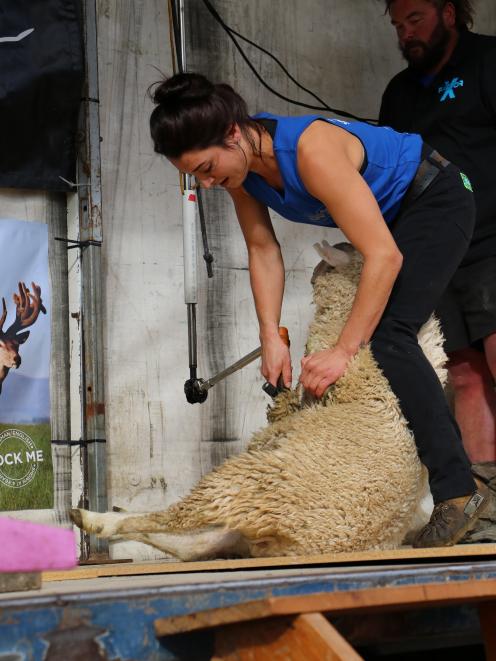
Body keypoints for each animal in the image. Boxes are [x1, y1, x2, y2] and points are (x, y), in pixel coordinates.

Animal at [70, 240, 446, 560]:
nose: (311, 273)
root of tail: (299, 543)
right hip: (238, 517)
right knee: (192, 543)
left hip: (244, 482)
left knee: (177, 520)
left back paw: (93, 518)